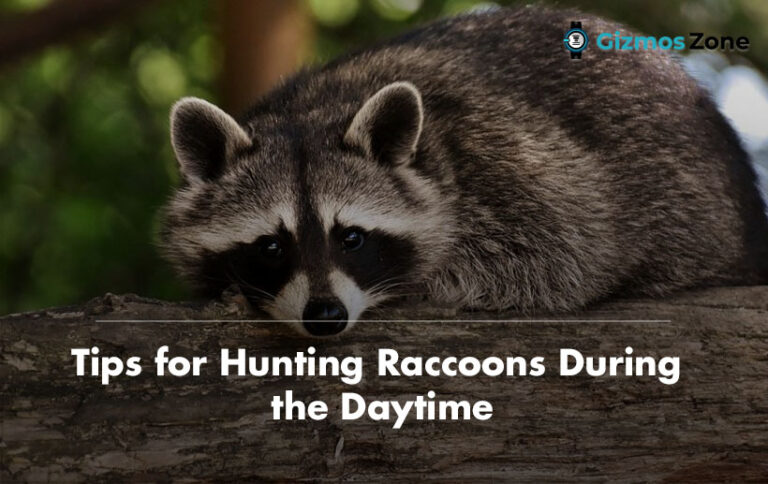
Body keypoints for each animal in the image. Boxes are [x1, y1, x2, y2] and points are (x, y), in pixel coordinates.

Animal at [161, 6, 768, 336]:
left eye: (351, 237)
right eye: (270, 245)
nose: (326, 316)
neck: (311, 111)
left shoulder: (516, 166)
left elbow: (569, 252)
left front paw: (418, 286)